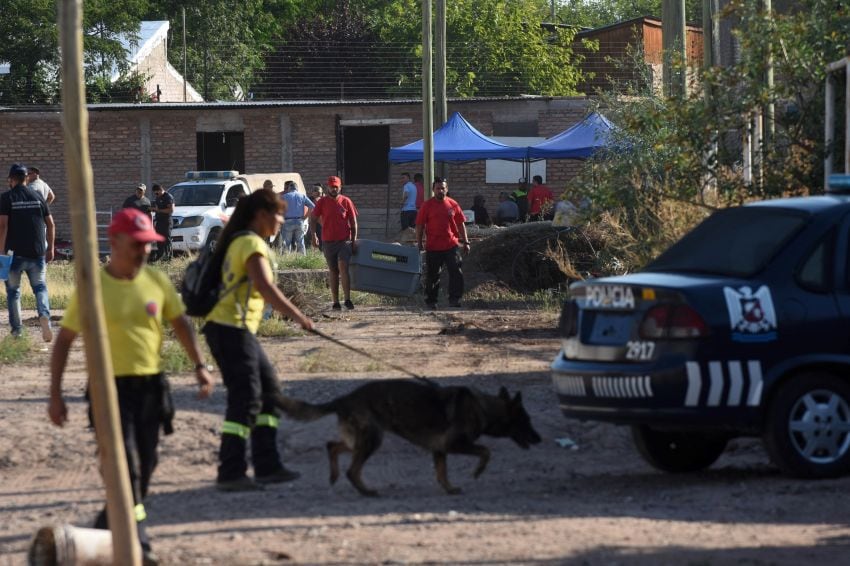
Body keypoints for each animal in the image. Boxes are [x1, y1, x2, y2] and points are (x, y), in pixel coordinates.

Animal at [268, 382, 540, 496]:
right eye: (526, 420)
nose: (539, 439)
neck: (484, 407)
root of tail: (345, 398)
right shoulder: (455, 445)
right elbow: (485, 451)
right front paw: (477, 472)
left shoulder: (439, 450)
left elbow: (442, 473)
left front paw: (449, 489)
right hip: (372, 439)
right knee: (351, 470)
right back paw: (366, 491)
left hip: (360, 439)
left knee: (332, 446)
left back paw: (335, 476)